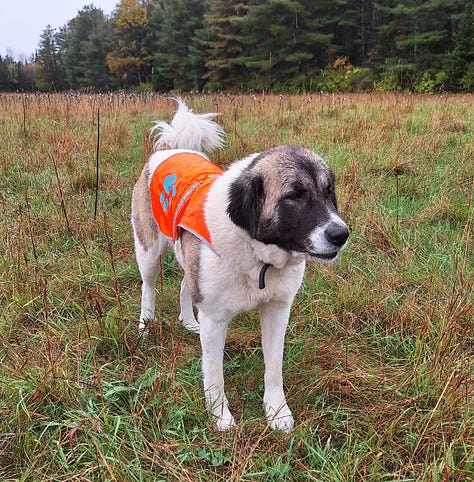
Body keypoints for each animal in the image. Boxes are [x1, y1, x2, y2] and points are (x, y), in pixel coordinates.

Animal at [130, 99, 348, 434]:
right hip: (149, 252)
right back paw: (145, 326)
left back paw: (188, 321)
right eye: (293, 196)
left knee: (184, 286)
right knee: (148, 287)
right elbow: (214, 375)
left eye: (328, 192)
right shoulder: (215, 320)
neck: (259, 257)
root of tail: (170, 148)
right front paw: (220, 417)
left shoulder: (277, 311)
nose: (341, 235)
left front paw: (277, 412)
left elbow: (273, 368)